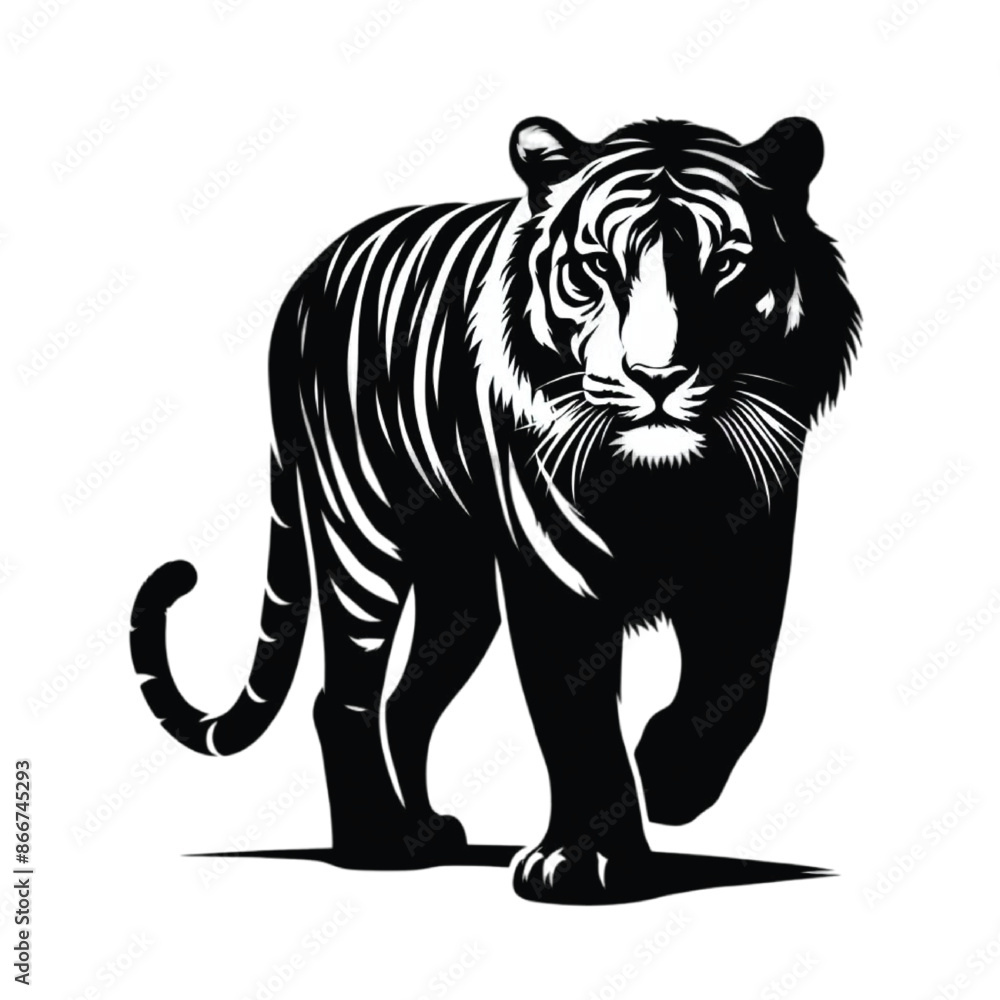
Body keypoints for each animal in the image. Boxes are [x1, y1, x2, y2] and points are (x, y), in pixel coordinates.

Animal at [131, 114, 860, 903]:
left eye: (725, 262)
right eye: (596, 267)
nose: (657, 376)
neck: (661, 487)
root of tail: (304, 283)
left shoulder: (752, 551)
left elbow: (738, 686)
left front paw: (670, 779)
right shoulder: (553, 580)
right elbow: (575, 721)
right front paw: (579, 863)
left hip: (458, 590)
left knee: (405, 702)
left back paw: (423, 829)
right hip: (361, 539)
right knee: (343, 699)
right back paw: (376, 842)